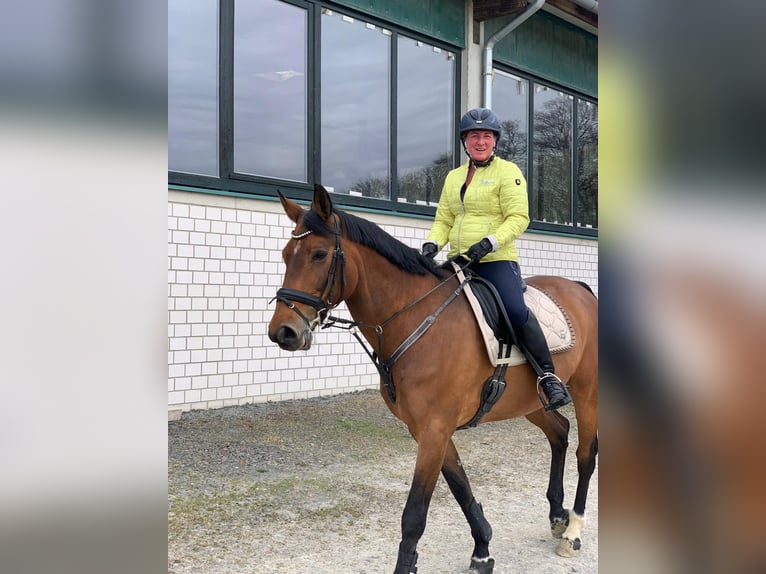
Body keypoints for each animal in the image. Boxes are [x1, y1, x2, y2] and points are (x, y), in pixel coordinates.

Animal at [268, 186, 600, 574]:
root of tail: (580, 289)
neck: (417, 317)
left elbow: (414, 514)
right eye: (286, 255)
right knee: (560, 432)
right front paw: (482, 549)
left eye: (319, 255)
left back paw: (573, 530)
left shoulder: (434, 430)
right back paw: (557, 514)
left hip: (586, 392)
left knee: (585, 454)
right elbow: (460, 487)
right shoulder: (428, 430)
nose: (283, 332)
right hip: (530, 401)